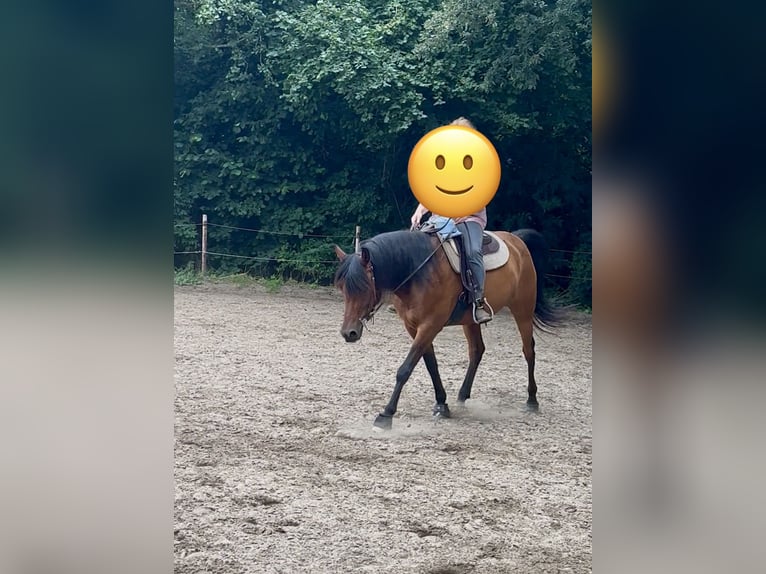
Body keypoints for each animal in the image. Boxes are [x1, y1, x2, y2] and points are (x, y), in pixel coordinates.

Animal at [333, 227, 562, 429]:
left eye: (363, 287)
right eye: (342, 288)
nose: (349, 333)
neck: (418, 271)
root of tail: (516, 240)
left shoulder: (430, 325)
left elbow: (405, 369)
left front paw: (386, 414)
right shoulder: (414, 327)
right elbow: (430, 364)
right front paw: (442, 404)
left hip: (523, 310)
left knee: (528, 351)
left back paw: (531, 400)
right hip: (471, 321)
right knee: (477, 350)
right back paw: (462, 396)